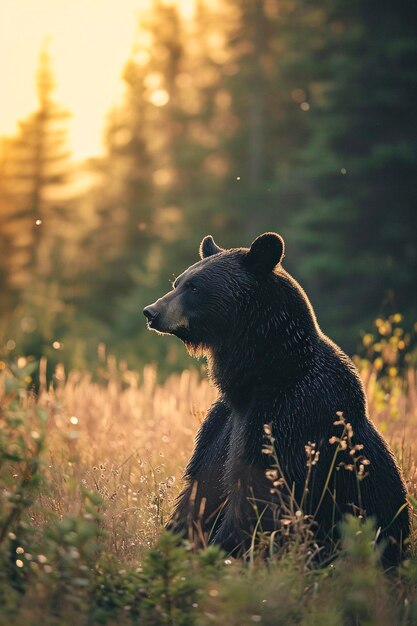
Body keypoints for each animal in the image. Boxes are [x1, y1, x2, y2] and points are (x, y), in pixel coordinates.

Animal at [143, 232, 410, 564]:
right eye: (177, 282)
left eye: (194, 287)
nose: (151, 311)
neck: (261, 377)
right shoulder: (221, 424)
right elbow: (202, 490)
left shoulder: (290, 417)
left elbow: (258, 500)